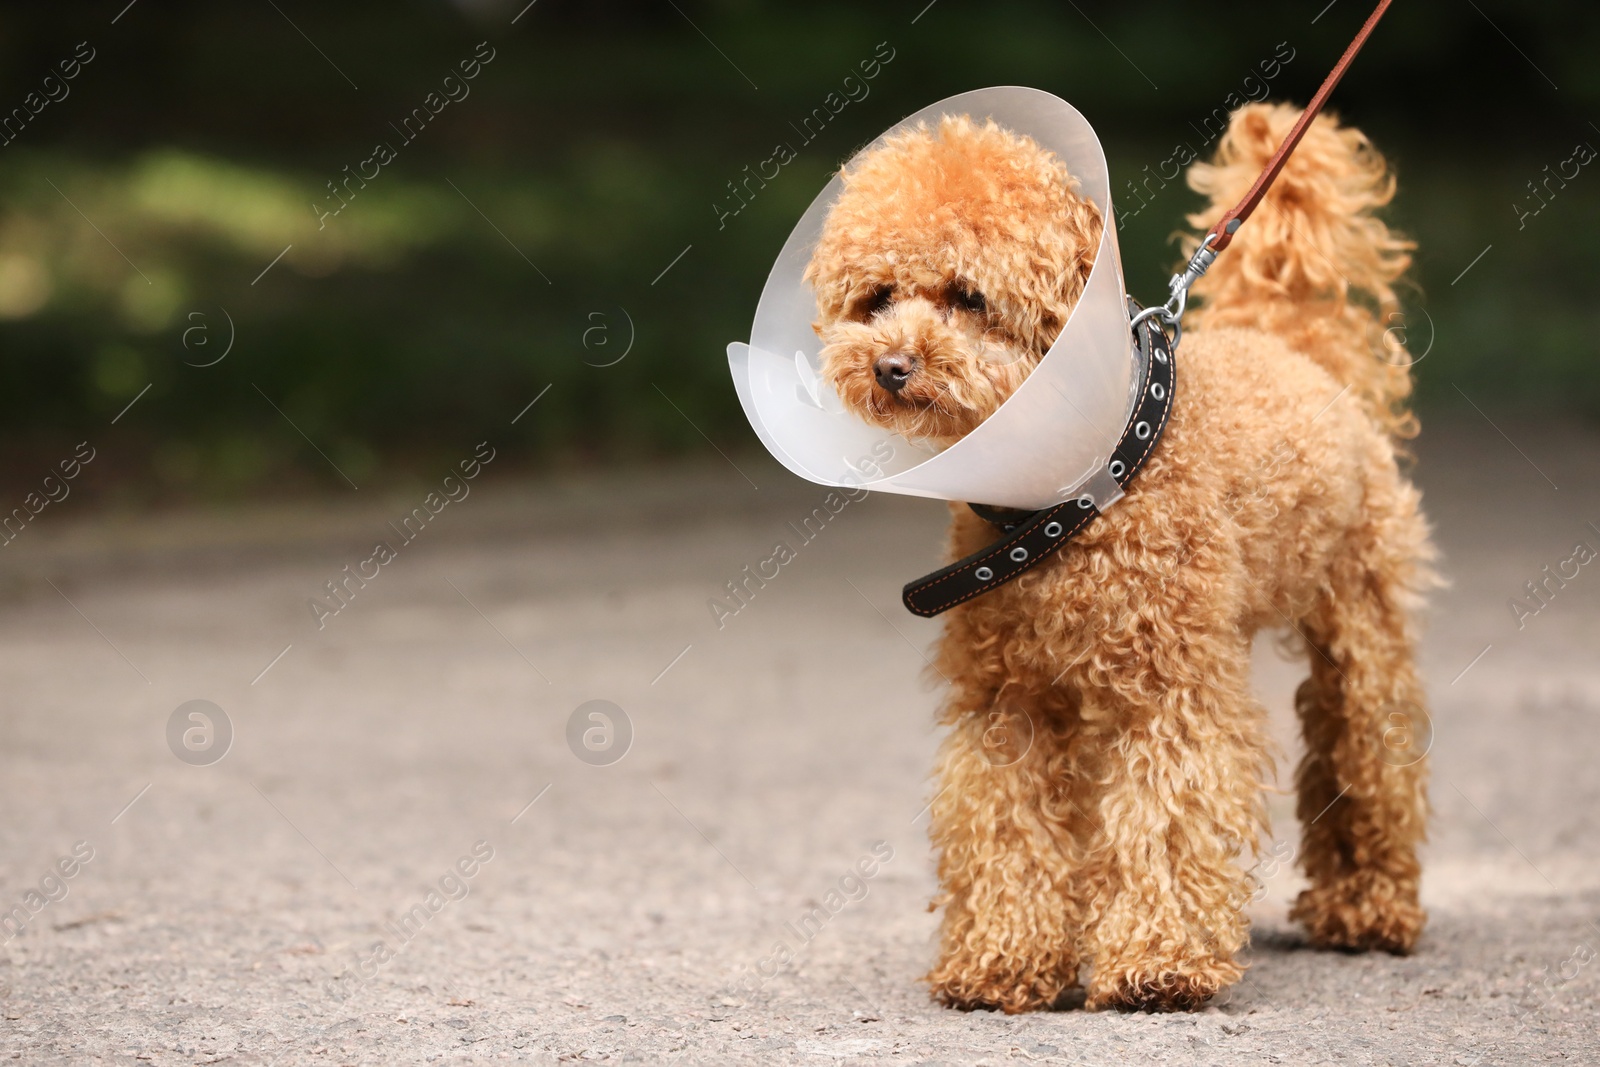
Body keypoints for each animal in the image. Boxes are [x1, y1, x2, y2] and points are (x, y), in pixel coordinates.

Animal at [812, 103, 1440, 1017]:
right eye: (878, 296)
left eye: (970, 296)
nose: (889, 366)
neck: (1069, 498)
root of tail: (1297, 351)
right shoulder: (1009, 702)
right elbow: (1004, 823)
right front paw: (1003, 960)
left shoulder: (1171, 692)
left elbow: (1168, 815)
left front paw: (1159, 962)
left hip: (1362, 618)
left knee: (1367, 747)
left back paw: (1370, 905)